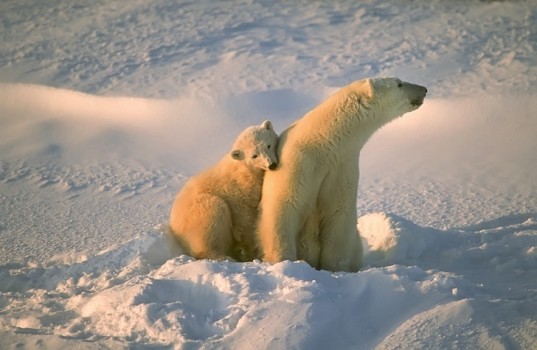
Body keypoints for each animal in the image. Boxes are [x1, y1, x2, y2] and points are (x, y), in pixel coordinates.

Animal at [170, 121, 278, 262]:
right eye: (254, 155)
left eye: (268, 145)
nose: (272, 165)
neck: (245, 170)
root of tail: (173, 224)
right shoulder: (239, 192)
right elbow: (245, 219)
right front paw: (251, 251)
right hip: (198, 213)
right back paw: (224, 256)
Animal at [258, 78, 426, 272]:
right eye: (399, 83)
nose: (424, 89)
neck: (322, 143)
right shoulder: (297, 164)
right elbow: (284, 208)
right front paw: (285, 262)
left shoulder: (342, 166)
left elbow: (339, 214)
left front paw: (335, 268)